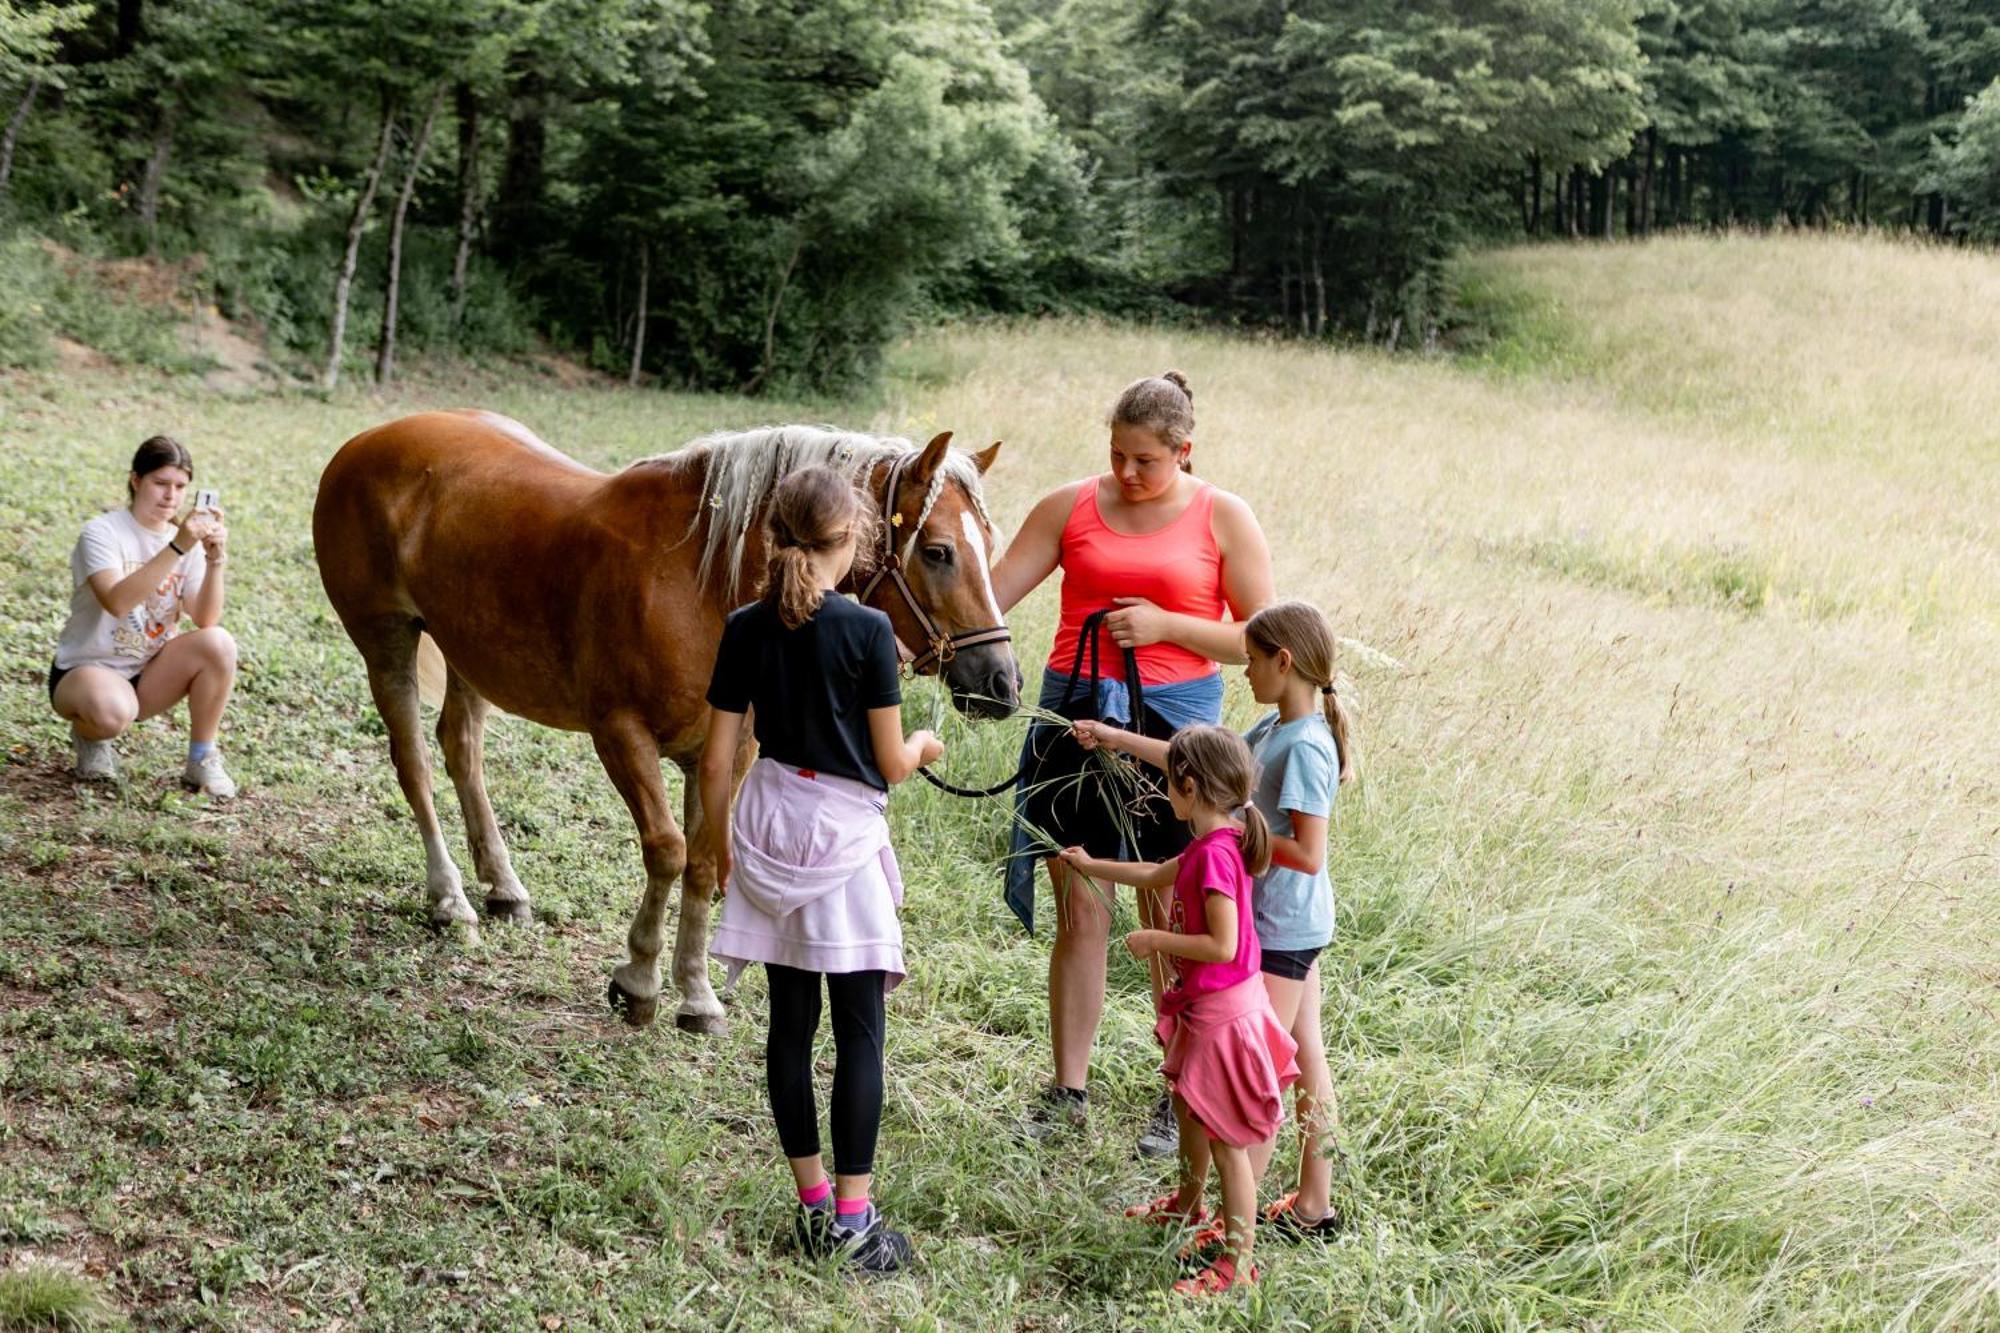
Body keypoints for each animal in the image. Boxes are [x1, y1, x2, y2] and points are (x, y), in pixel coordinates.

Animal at [318, 412, 1024, 1024]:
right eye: (938, 551)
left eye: (989, 545)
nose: (1002, 684)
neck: (698, 583)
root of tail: (368, 440)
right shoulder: (620, 735)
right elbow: (667, 850)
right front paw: (639, 980)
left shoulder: (723, 750)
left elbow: (705, 860)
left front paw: (696, 991)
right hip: (386, 640)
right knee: (413, 761)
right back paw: (450, 899)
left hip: (467, 650)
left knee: (461, 749)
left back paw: (503, 887)